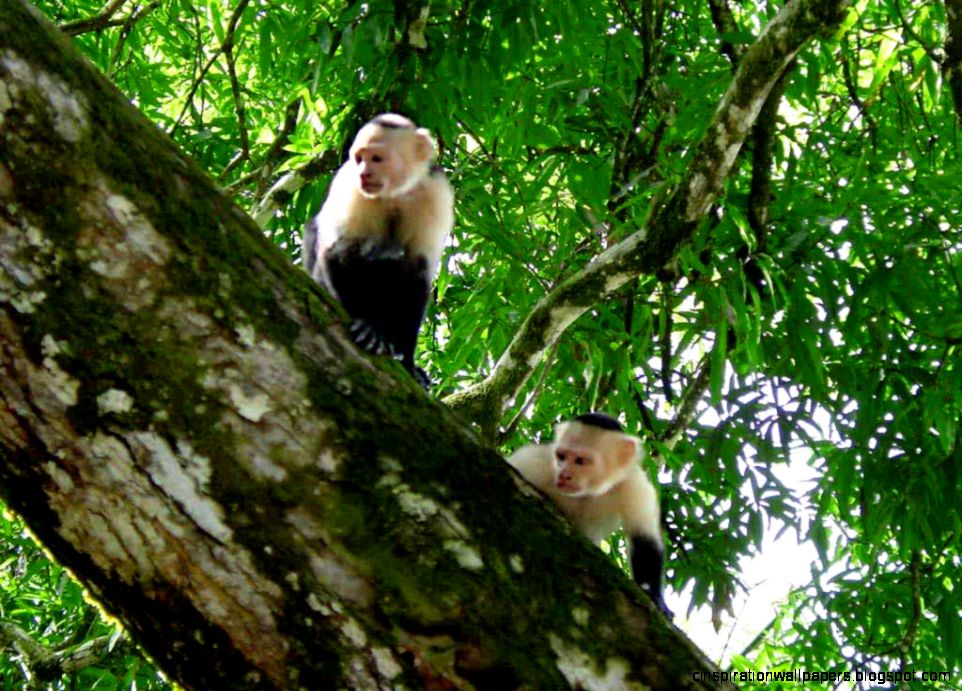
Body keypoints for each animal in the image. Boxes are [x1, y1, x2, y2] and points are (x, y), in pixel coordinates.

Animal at [302, 114, 454, 387]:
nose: (364, 173)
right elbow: (336, 252)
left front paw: (407, 363)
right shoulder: (350, 187)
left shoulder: (435, 192)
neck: (395, 194)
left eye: (377, 158)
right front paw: (366, 325)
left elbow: (418, 271)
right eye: (359, 158)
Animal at [507, 412, 671, 616]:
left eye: (581, 461)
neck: (590, 491)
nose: (564, 474)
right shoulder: (535, 462)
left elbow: (645, 539)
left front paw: (654, 596)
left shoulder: (634, 484)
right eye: (561, 456)